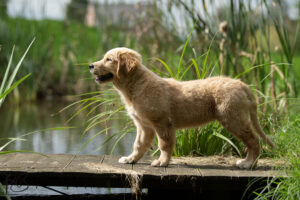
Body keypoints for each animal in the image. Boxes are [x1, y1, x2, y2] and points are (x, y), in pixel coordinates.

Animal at [89, 47, 274, 169]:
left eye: (108, 59)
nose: (90, 65)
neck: (136, 85)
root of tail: (242, 84)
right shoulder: (144, 126)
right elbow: (139, 144)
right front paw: (131, 159)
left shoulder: (162, 123)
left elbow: (164, 145)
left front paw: (162, 162)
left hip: (232, 118)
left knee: (254, 141)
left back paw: (248, 163)